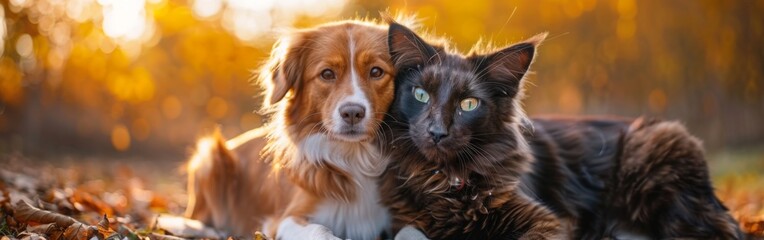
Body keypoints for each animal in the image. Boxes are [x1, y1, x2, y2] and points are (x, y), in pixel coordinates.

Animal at [186, 19, 400, 240]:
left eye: (376, 72)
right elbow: (321, 230)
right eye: (327, 74)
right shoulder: (285, 220)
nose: (352, 112)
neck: (354, 156)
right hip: (210, 158)